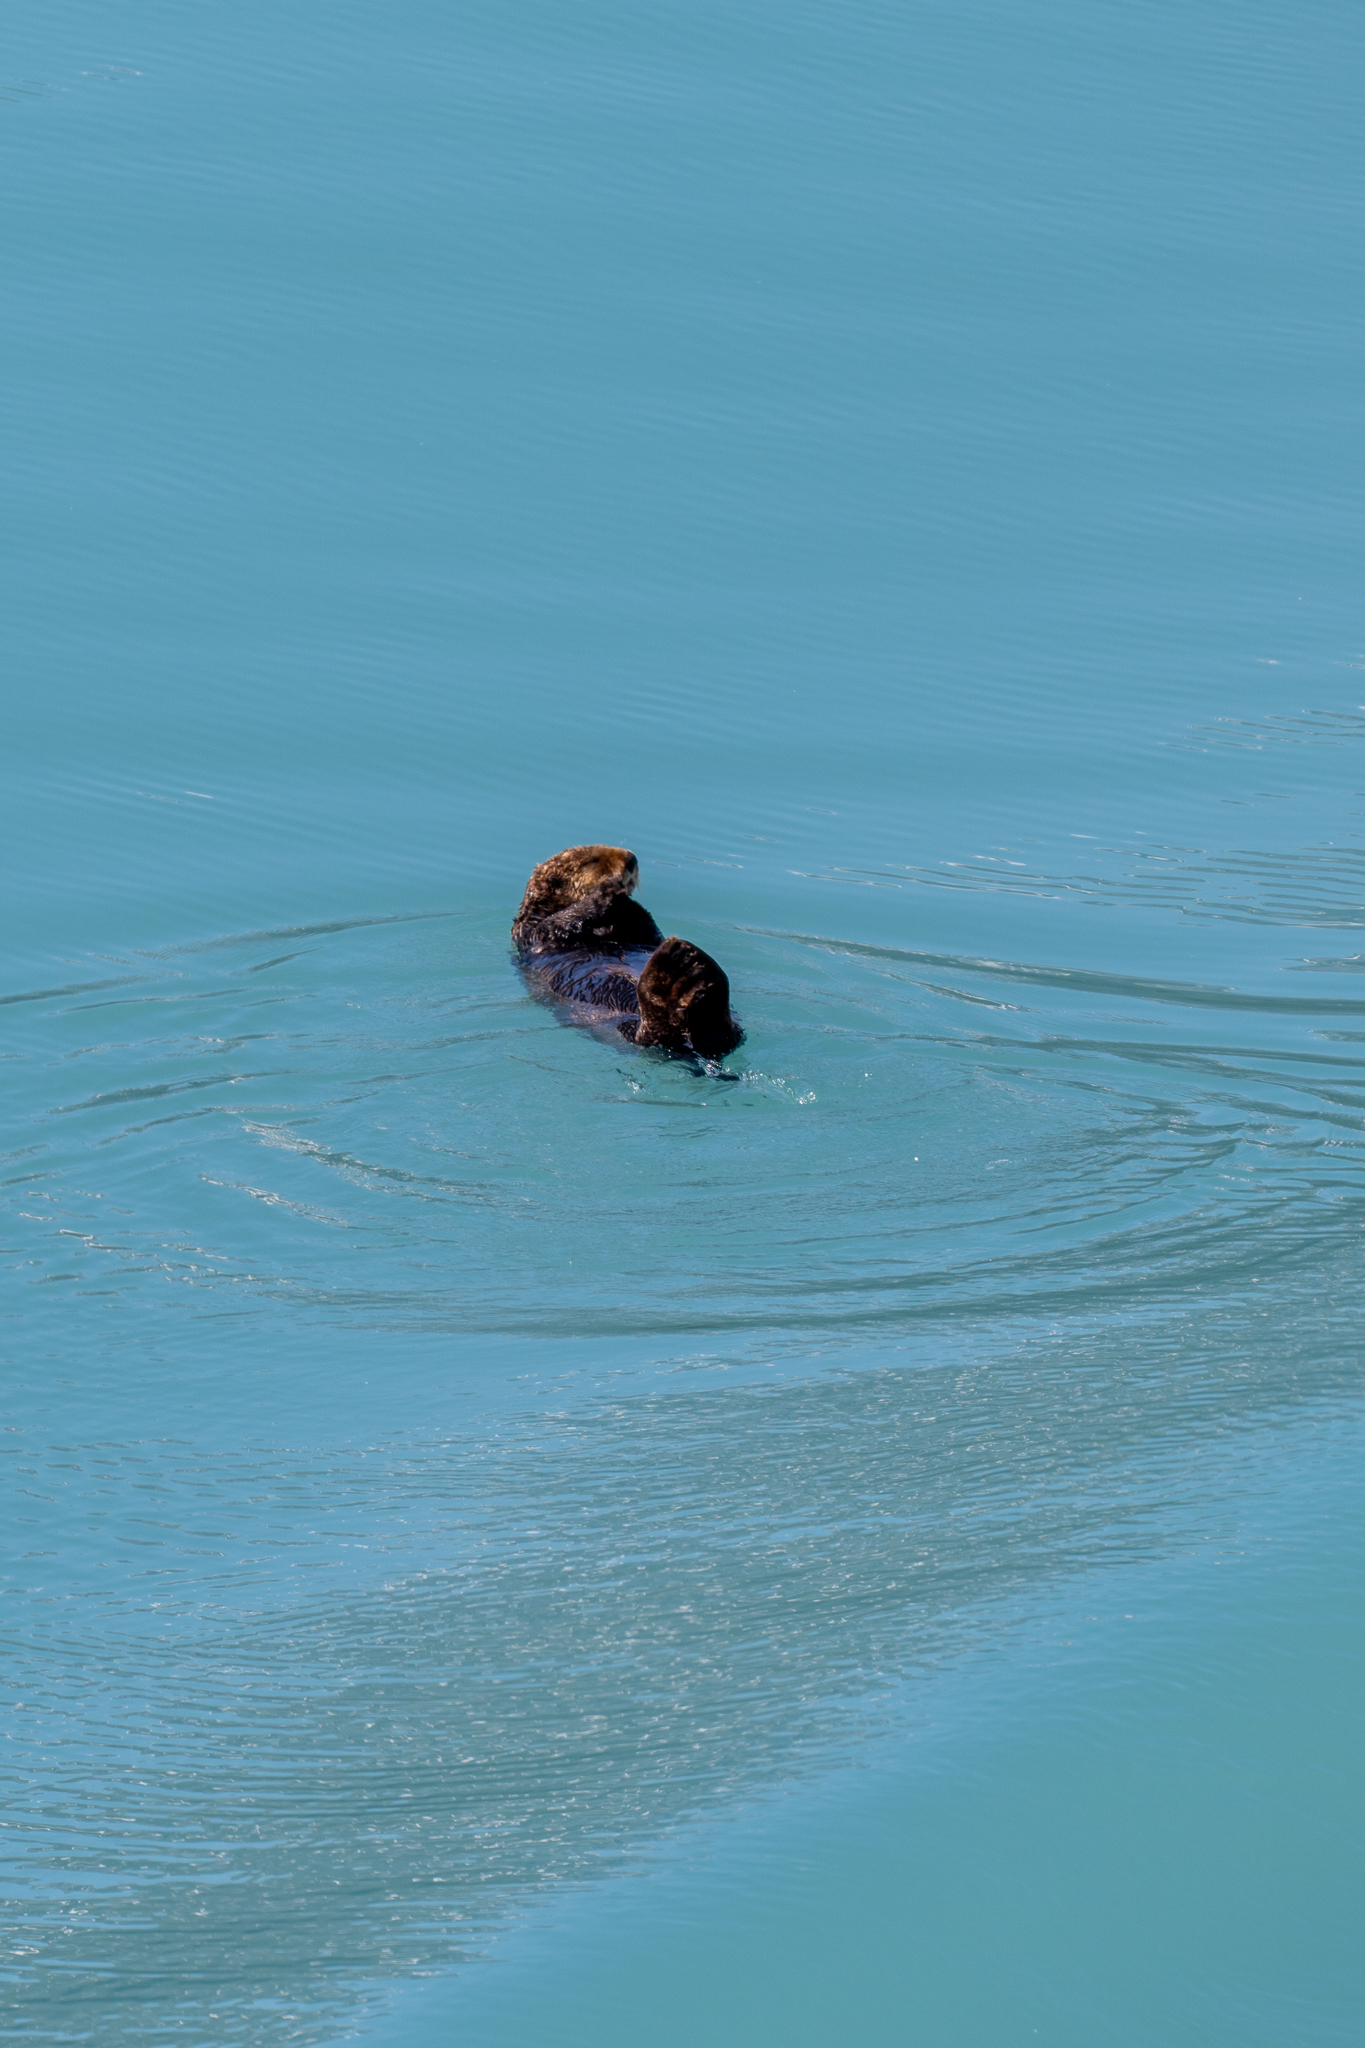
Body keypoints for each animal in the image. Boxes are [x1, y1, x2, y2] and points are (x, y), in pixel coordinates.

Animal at [512, 844, 744, 1060]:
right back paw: (671, 971)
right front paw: (607, 890)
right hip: (623, 1028)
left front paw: (625, 898)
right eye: (592, 861)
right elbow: (555, 923)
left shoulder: (643, 933)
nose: (631, 860)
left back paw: (692, 971)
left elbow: (646, 926)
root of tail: (686, 1043)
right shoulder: (532, 933)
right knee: (654, 1035)